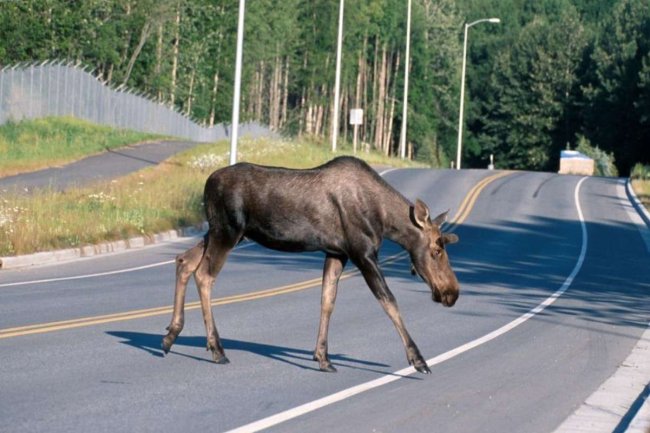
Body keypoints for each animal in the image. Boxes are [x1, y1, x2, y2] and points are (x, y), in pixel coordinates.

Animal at [162, 156, 459, 374]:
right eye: (436, 250)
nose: (452, 293)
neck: (385, 221)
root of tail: (207, 184)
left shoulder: (337, 253)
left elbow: (327, 300)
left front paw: (323, 357)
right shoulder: (362, 253)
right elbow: (389, 301)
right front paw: (418, 360)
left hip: (218, 231)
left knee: (184, 261)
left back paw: (171, 335)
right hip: (228, 231)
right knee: (204, 275)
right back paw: (217, 349)